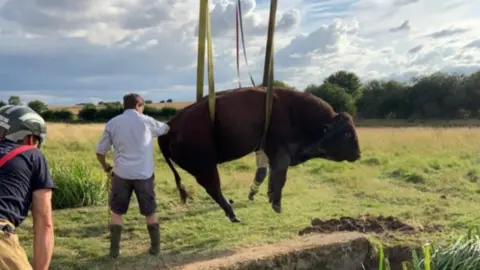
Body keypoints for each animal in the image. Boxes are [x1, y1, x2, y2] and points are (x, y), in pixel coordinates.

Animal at [158, 87, 360, 224]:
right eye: (347, 133)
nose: (358, 154)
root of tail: (169, 127)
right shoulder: (281, 153)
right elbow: (279, 177)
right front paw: (277, 205)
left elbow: (270, 176)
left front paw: (270, 198)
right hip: (206, 167)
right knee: (213, 187)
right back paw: (233, 215)